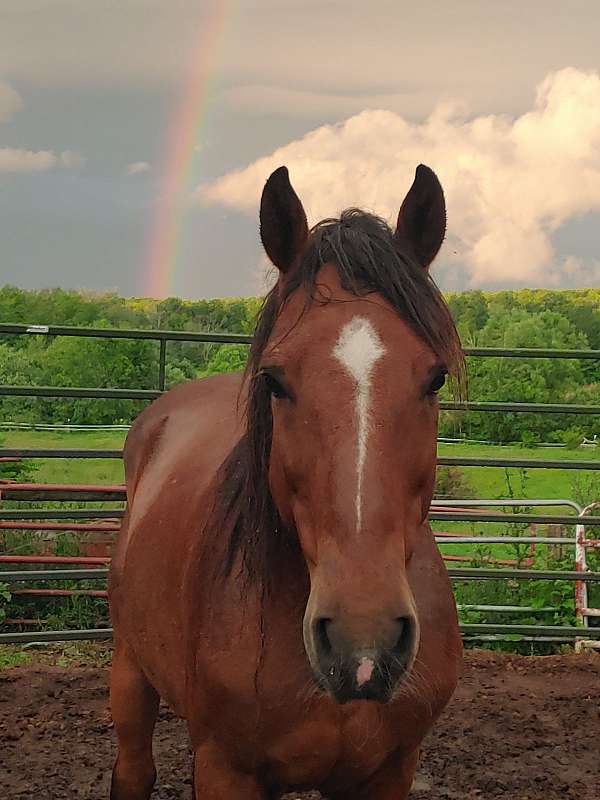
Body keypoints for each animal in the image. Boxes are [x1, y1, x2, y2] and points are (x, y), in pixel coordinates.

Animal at [109, 164, 464, 800]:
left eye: (435, 378)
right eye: (275, 380)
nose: (363, 638)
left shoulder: (388, 771)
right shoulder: (225, 768)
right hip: (129, 669)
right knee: (133, 769)